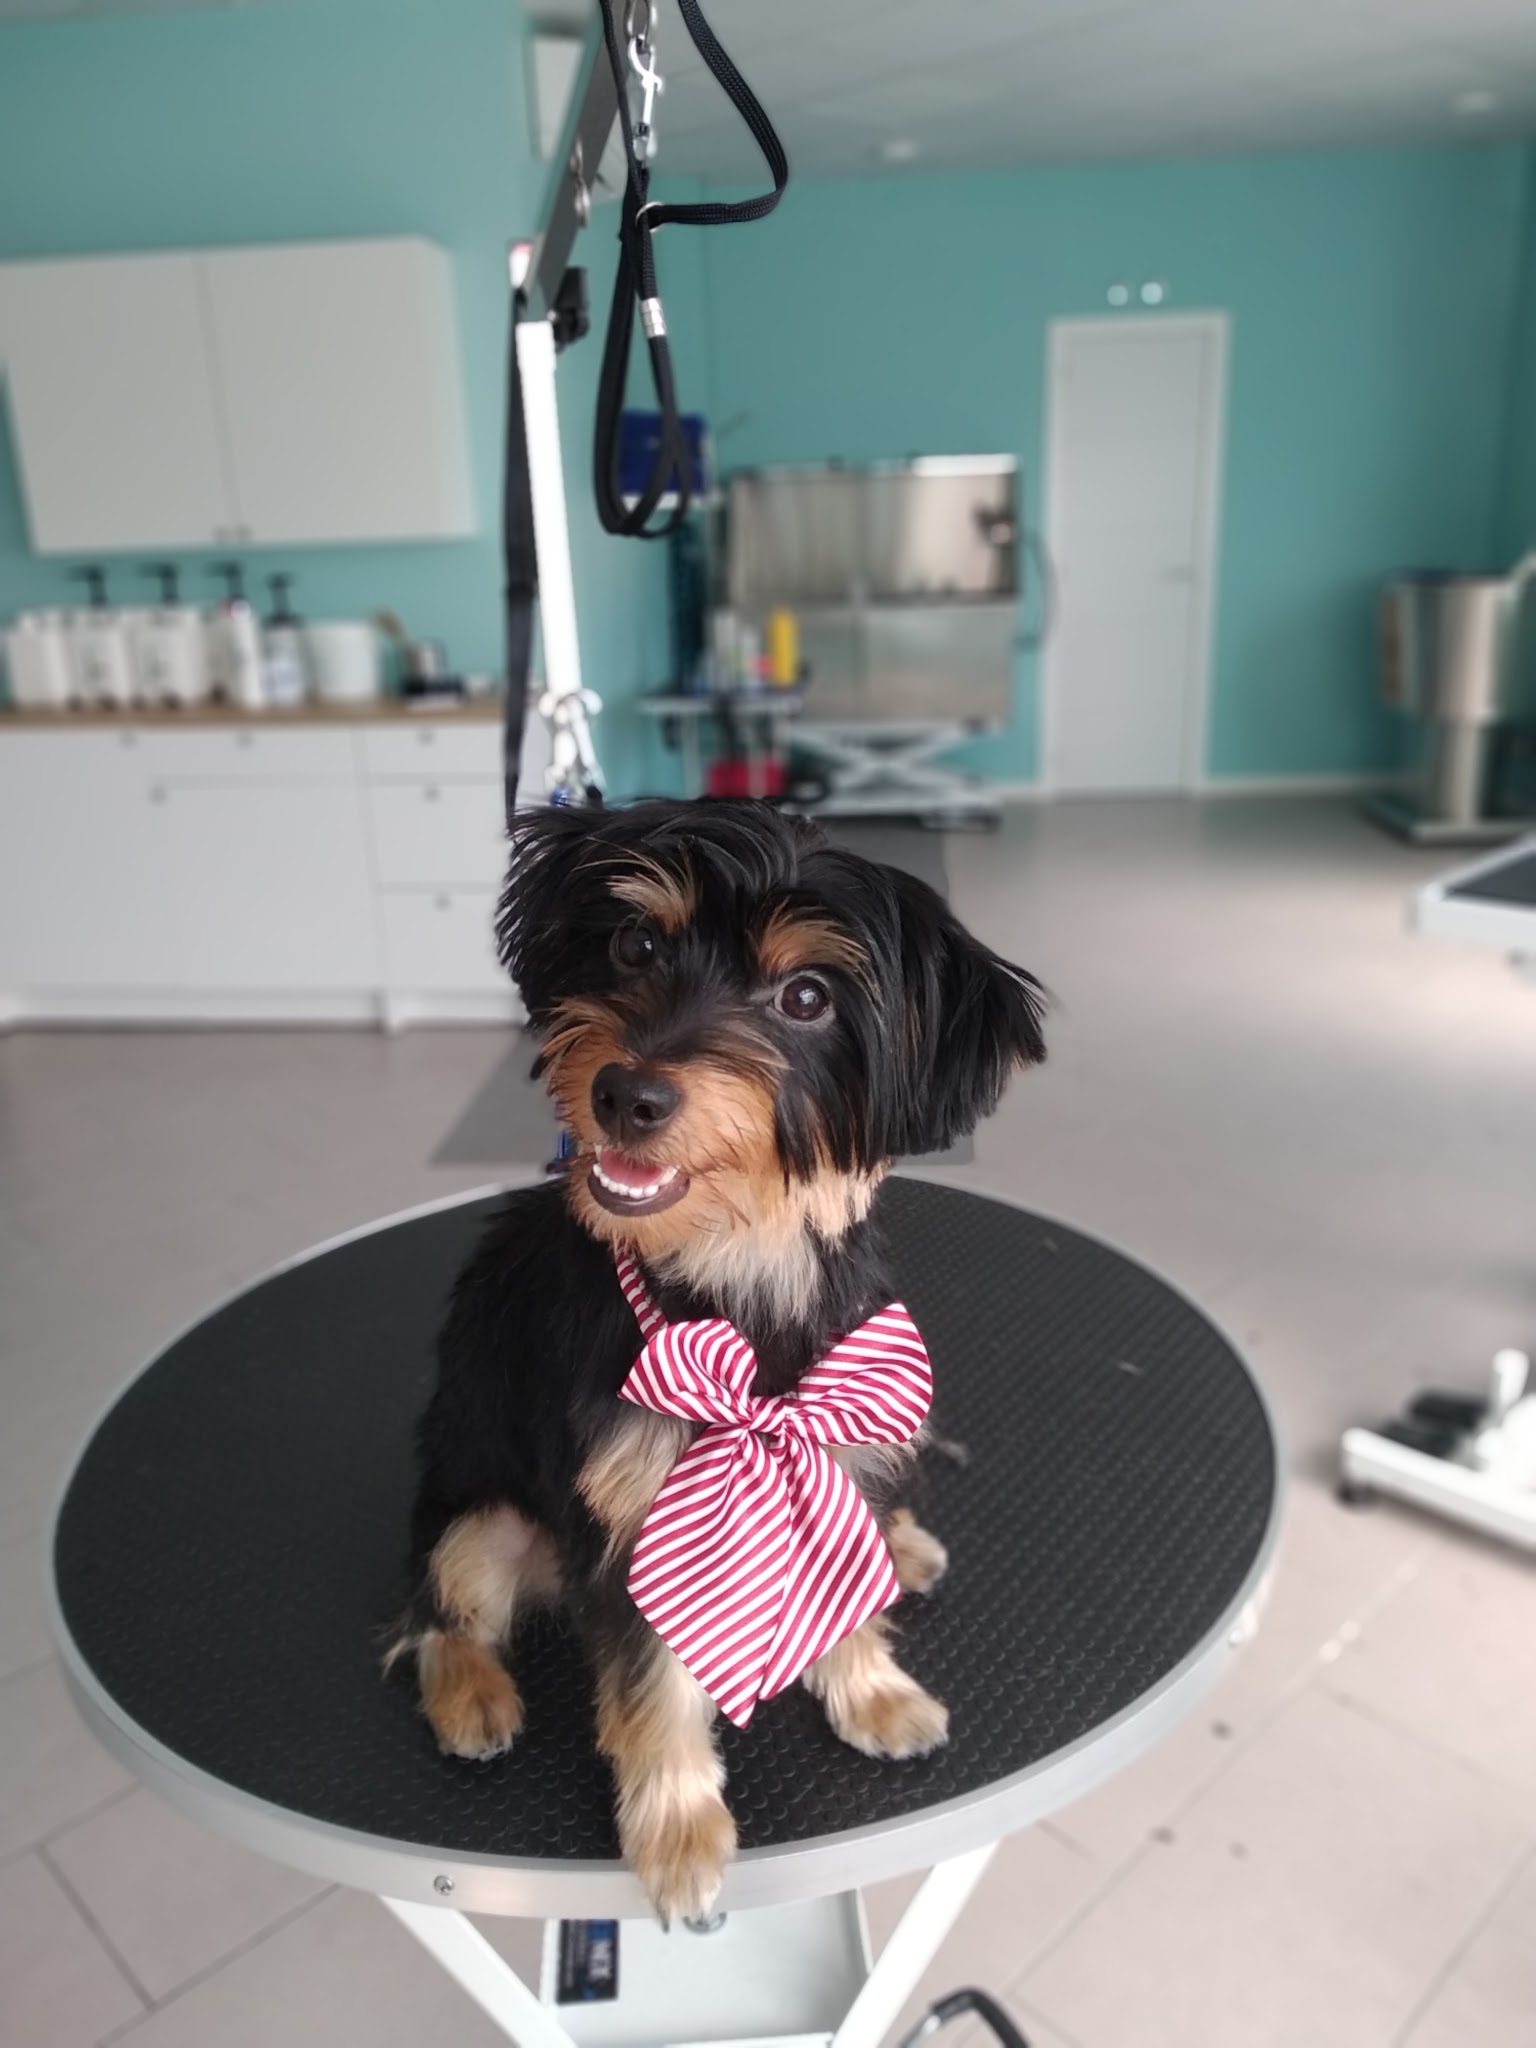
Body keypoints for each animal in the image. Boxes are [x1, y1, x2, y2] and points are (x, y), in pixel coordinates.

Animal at [390, 799, 1046, 1920]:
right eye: (635, 944)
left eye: (807, 995)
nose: (627, 1093)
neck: (737, 1271)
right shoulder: (631, 1519)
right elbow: (655, 1689)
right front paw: (679, 1830)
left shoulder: (838, 1426)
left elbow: (843, 1589)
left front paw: (874, 1690)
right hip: (478, 1512)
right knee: (438, 1606)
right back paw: (471, 1691)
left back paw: (905, 1546)